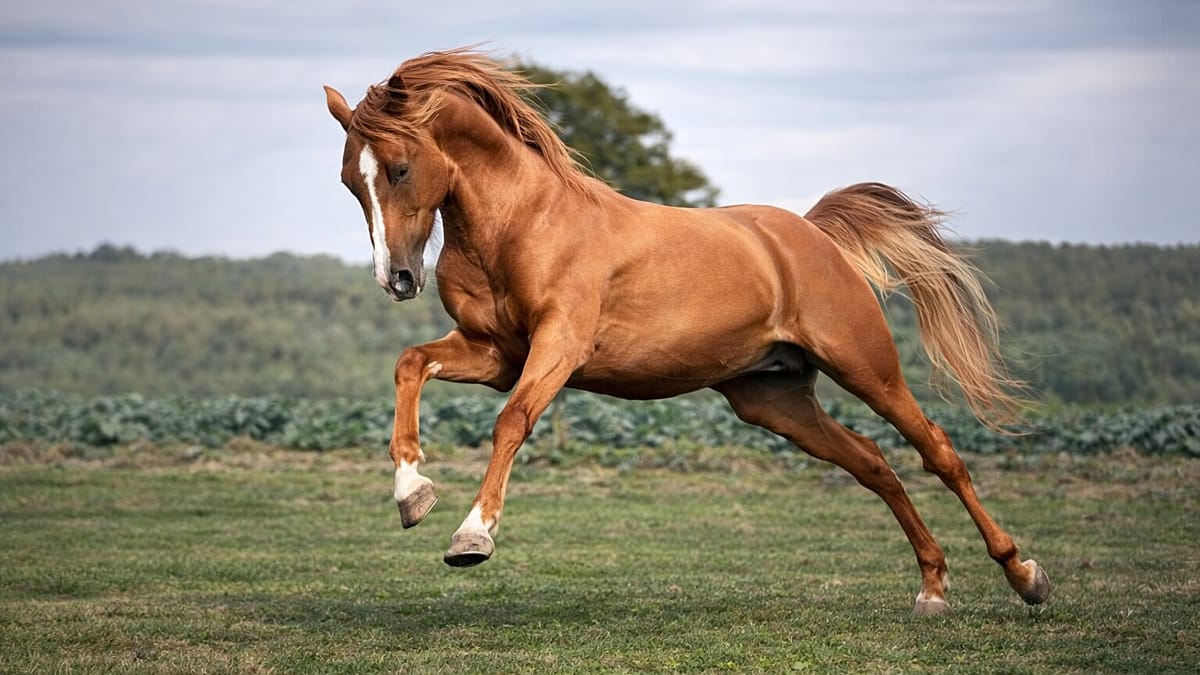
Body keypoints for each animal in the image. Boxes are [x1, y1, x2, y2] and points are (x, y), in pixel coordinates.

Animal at [323, 47, 1050, 615]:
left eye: (399, 169)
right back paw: (933, 587)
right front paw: (412, 494)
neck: (521, 223)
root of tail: (813, 234)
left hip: (867, 367)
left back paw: (1025, 575)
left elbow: (512, 421)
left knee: (937, 451)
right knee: (873, 464)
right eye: (350, 181)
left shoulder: (558, 347)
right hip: (773, 399)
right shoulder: (496, 353)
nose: (398, 278)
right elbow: (409, 364)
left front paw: (471, 536)